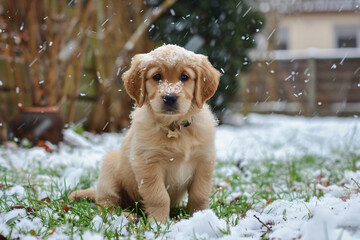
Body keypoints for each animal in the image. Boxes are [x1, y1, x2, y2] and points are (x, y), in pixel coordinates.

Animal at [69, 44, 221, 223]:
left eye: (185, 77)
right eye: (157, 76)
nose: (170, 97)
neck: (174, 127)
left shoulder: (204, 160)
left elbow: (199, 194)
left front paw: (202, 217)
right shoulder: (148, 162)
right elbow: (159, 196)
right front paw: (159, 223)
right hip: (109, 169)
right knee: (106, 204)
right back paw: (127, 215)